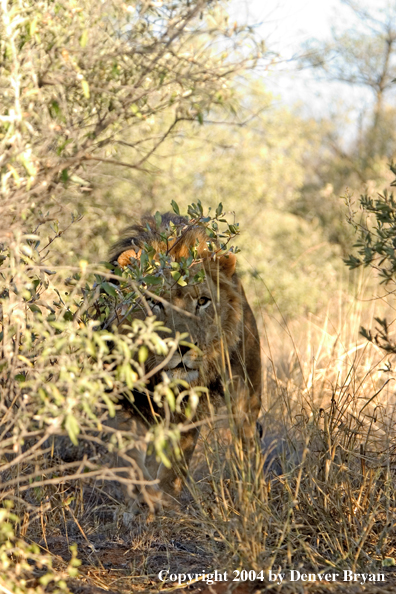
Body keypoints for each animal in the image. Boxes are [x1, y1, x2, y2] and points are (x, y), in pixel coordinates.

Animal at [106, 210, 262, 506]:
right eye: (154, 302)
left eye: (202, 301)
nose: (183, 347)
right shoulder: (124, 398)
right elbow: (131, 455)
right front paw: (144, 495)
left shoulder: (194, 400)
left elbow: (177, 459)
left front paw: (165, 497)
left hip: (247, 389)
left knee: (245, 442)